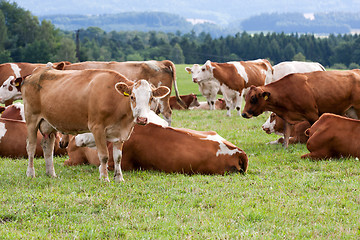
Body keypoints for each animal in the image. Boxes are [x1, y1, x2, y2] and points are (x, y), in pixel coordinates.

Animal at [21, 63, 170, 182]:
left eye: (151, 98)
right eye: (132, 97)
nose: (142, 119)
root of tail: (36, 73)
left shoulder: (120, 133)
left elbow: (118, 157)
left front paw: (119, 178)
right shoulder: (97, 128)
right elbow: (104, 156)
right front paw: (104, 178)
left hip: (48, 124)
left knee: (48, 147)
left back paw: (51, 173)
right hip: (31, 120)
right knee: (31, 147)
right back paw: (30, 173)